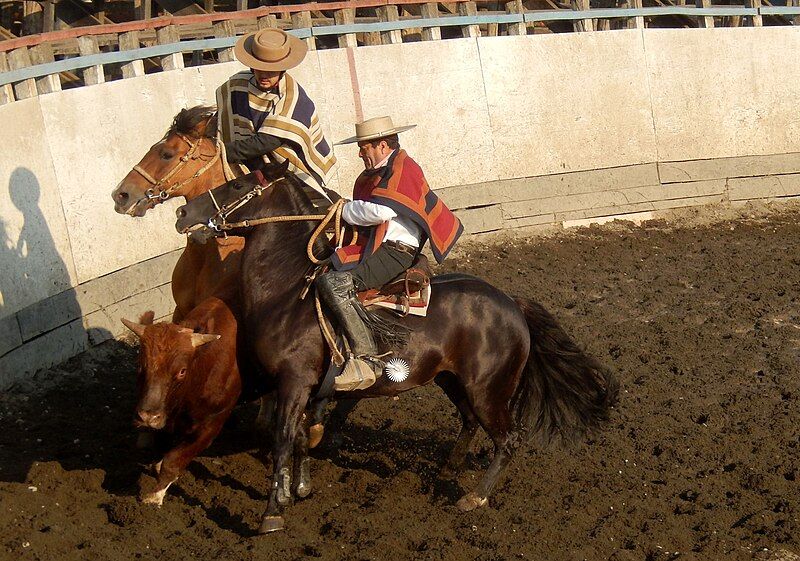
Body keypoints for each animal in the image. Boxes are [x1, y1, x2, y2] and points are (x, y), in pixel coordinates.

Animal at [122, 296, 241, 506]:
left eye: (182, 371)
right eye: (140, 365)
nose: (147, 417)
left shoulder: (211, 427)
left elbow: (173, 461)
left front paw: (155, 496)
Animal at [172, 162, 616, 532]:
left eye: (237, 184)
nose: (182, 214)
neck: (287, 290)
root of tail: (512, 302)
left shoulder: (294, 381)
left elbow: (283, 438)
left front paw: (272, 513)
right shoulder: (301, 386)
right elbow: (298, 436)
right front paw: (298, 489)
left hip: (488, 389)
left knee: (508, 439)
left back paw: (474, 497)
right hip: (451, 380)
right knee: (469, 422)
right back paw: (445, 472)